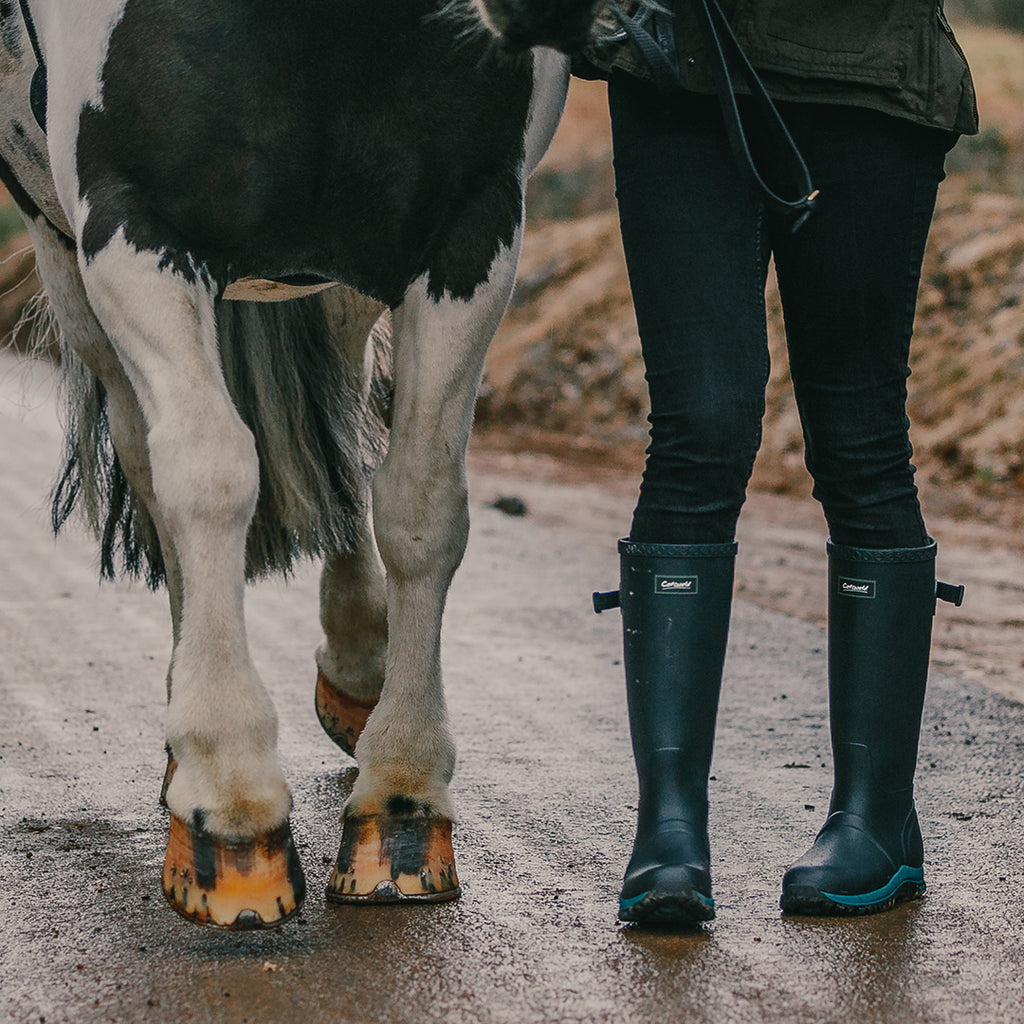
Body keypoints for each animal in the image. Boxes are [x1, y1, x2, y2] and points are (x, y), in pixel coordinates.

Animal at [0, 0, 606, 929]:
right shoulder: (129, 223)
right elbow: (208, 474)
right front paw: (229, 800)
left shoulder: (471, 229)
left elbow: (422, 504)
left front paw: (401, 801)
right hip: (65, 253)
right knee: (151, 454)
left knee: (346, 414)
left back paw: (358, 665)